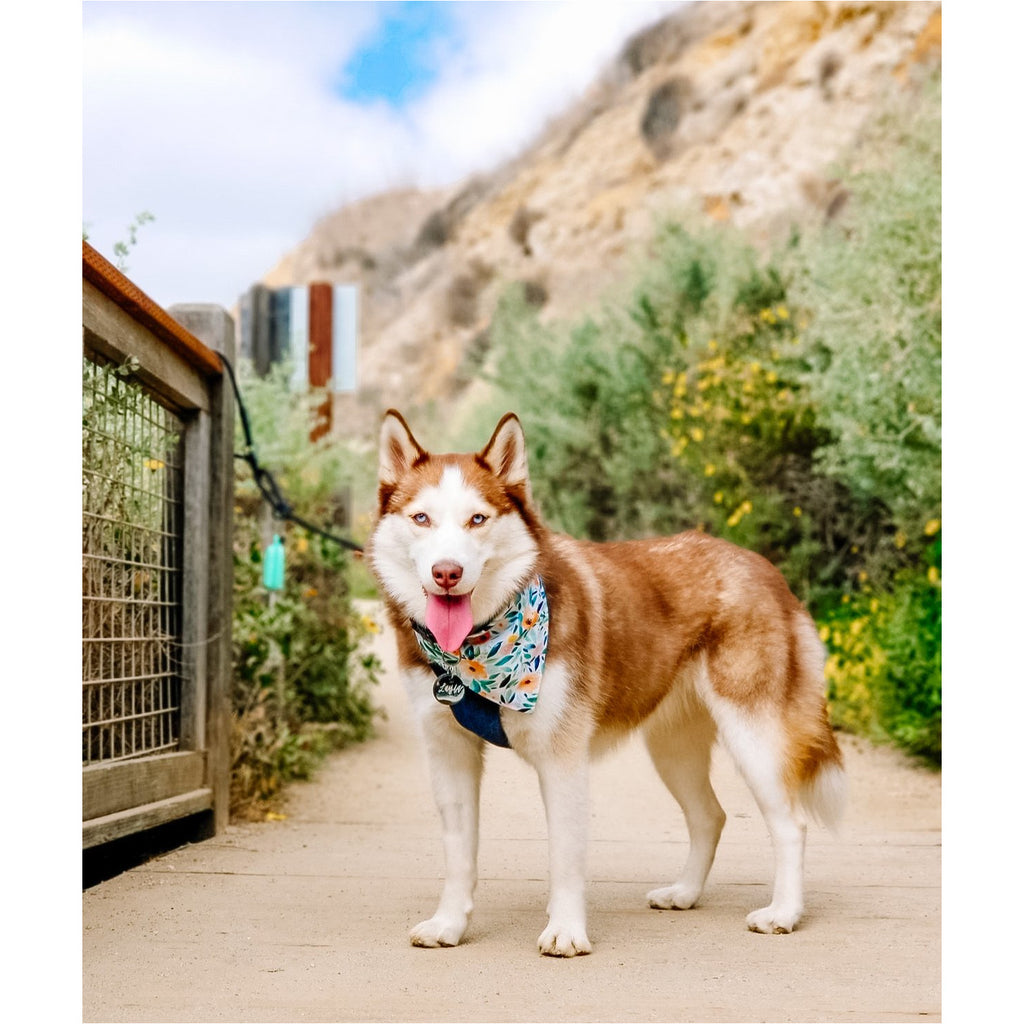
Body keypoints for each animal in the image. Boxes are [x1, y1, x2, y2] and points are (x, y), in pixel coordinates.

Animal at [364, 411, 843, 954]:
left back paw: (784, 912)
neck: (476, 652)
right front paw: (449, 924)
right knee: (710, 816)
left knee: (790, 824)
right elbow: (459, 854)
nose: (447, 572)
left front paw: (566, 930)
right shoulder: (449, 753)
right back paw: (684, 892)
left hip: (753, 735)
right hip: (672, 746)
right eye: (421, 519)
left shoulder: (562, 758)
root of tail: (763, 566)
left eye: (477, 520)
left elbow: (565, 857)